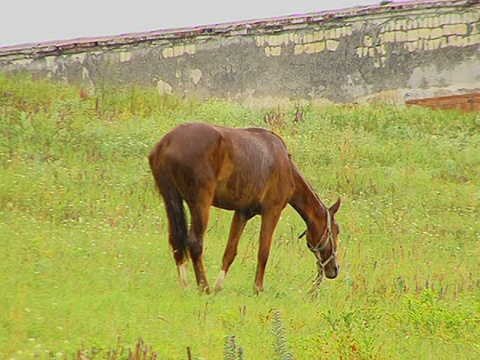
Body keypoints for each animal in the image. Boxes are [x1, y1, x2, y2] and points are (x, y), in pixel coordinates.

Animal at [150, 123, 342, 292]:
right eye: (337, 230)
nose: (334, 269)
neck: (286, 166)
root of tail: (168, 141)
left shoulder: (242, 213)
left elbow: (230, 251)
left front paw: (219, 287)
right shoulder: (272, 211)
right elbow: (263, 251)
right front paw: (258, 288)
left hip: (171, 199)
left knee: (176, 240)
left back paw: (186, 285)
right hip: (200, 203)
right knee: (195, 242)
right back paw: (204, 287)